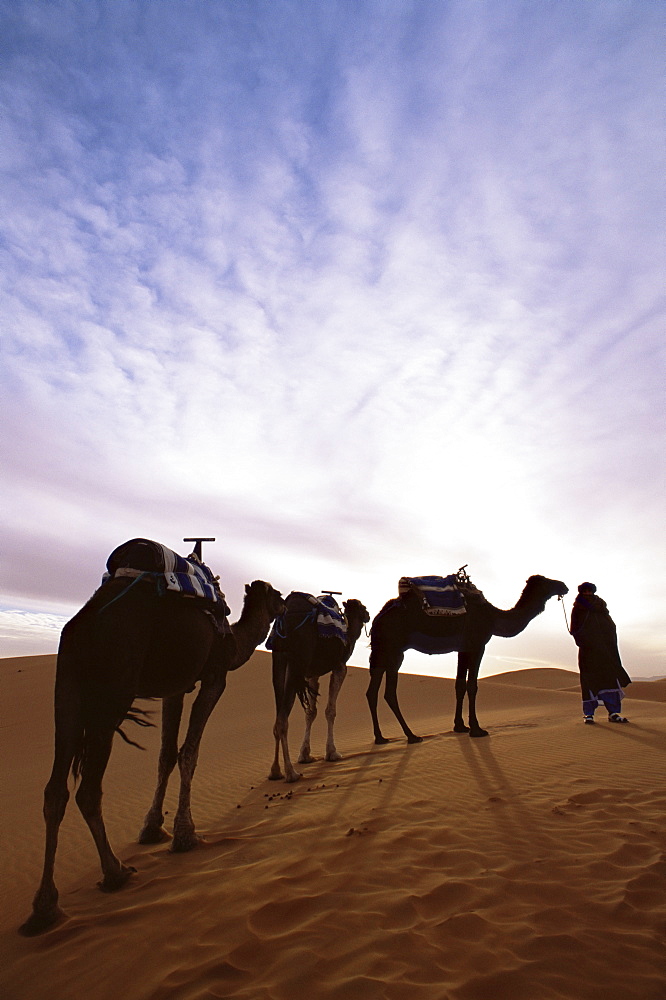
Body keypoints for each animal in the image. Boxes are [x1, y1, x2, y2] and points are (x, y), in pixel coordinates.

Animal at [18, 564, 282, 936]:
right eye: (277, 596)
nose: (285, 605)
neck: (233, 641)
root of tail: (83, 625)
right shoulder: (214, 677)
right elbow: (189, 752)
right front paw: (185, 836)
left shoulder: (177, 687)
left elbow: (166, 755)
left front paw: (152, 828)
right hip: (112, 691)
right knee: (88, 790)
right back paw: (114, 873)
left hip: (66, 689)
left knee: (55, 791)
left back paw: (44, 907)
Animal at [268, 592, 368, 780]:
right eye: (362, 607)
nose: (368, 615)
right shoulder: (340, 667)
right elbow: (330, 710)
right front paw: (332, 753)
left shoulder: (312, 675)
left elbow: (310, 712)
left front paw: (305, 755)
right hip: (296, 662)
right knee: (283, 719)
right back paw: (291, 773)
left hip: (279, 662)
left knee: (278, 717)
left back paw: (275, 771)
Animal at [364, 572, 564, 744]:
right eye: (546, 581)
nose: (563, 586)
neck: (493, 617)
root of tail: (378, 618)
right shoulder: (477, 645)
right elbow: (472, 685)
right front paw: (477, 729)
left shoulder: (463, 648)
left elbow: (459, 685)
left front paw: (460, 726)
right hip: (392, 648)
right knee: (388, 692)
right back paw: (411, 736)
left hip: (386, 652)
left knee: (374, 691)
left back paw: (381, 737)